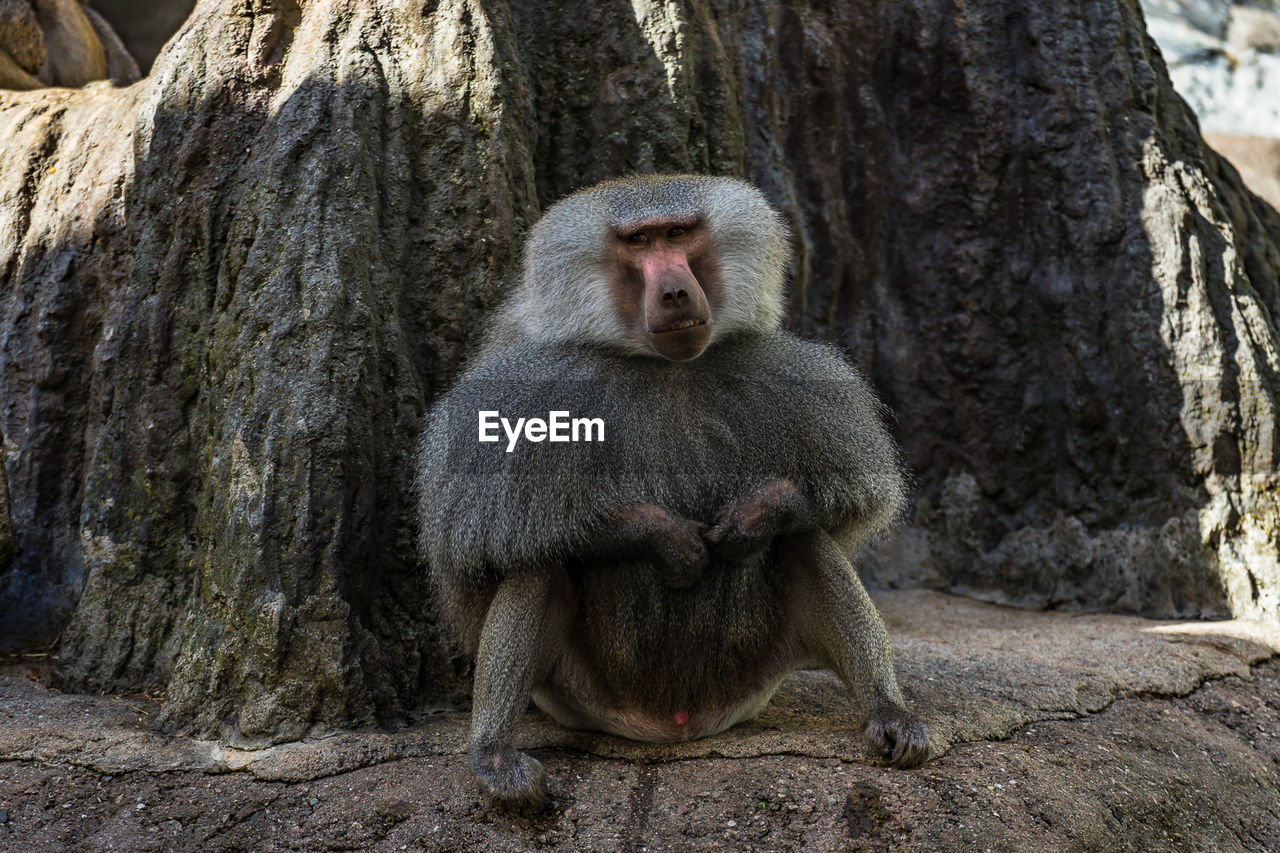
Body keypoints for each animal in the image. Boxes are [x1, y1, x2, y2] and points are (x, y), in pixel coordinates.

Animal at [419, 171, 931, 804]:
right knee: (542, 555)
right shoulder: (515, 394)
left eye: (679, 234)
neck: (665, 368)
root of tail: (674, 728)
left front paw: (755, 516)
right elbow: (482, 542)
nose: (674, 294)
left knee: (806, 540)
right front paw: (668, 539)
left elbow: (849, 504)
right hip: (576, 695)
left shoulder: (803, 381)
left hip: (755, 680)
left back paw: (889, 714)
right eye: (639, 242)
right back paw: (493, 754)